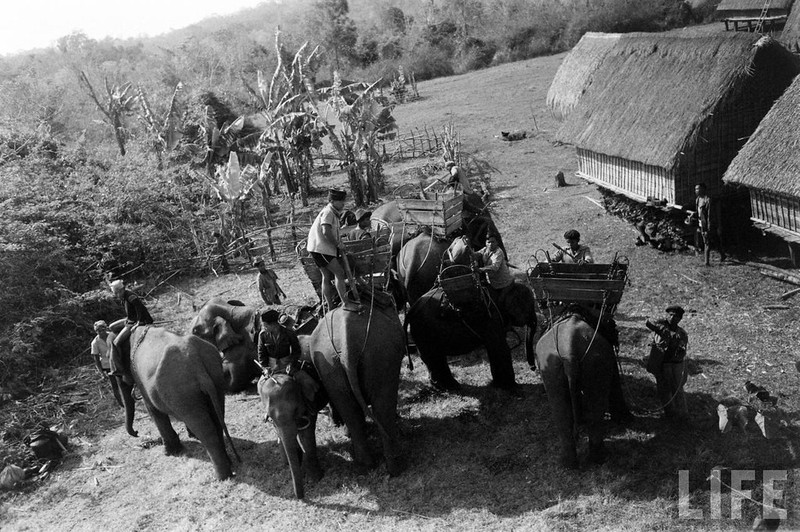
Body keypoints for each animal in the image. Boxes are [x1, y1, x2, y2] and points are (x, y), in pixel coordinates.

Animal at [117, 326, 239, 480]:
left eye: (116, 373)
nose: (137, 433)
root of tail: (195, 362)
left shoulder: (139, 378)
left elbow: (153, 410)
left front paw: (169, 453)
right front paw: (190, 437)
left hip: (181, 388)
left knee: (205, 428)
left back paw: (222, 477)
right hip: (215, 377)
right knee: (217, 418)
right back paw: (228, 465)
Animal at [306, 302, 406, 476]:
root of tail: (347, 345)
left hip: (329, 366)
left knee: (351, 412)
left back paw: (366, 466)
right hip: (380, 355)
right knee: (383, 406)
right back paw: (396, 466)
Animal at [406, 268, 536, 392]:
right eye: (531, 308)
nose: (533, 368)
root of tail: (410, 311)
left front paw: (498, 385)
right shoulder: (491, 318)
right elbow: (500, 347)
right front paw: (513, 387)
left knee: (434, 359)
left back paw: (447, 387)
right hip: (424, 331)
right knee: (434, 357)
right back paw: (451, 387)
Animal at [532, 310, 632, 468]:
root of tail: (569, 351)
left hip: (556, 365)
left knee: (562, 411)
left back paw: (571, 463)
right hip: (594, 361)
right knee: (593, 409)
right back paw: (595, 459)